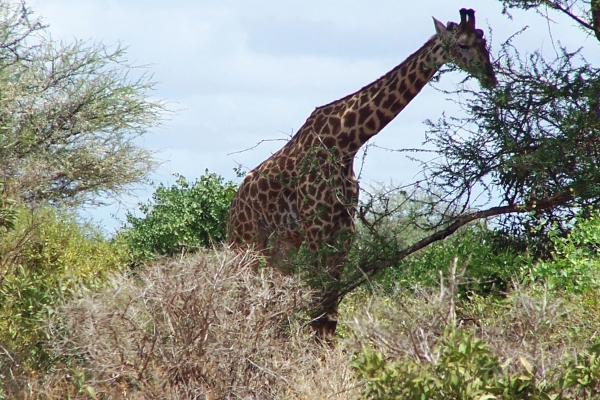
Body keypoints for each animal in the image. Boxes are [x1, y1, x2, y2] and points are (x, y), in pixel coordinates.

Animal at [225, 7, 496, 336]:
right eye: (463, 44)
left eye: (484, 40)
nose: (491, 77)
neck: (345, 144)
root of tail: (232, 208)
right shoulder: (317, 229)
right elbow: (318, 303)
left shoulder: (344, 230)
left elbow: (330, 307)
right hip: (246, 242)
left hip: (281, 246)